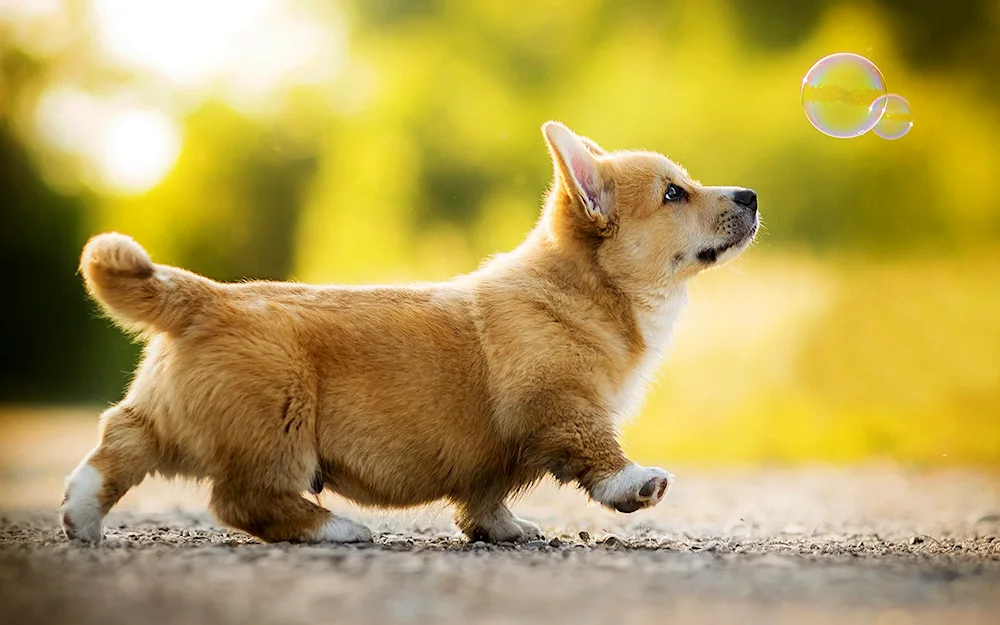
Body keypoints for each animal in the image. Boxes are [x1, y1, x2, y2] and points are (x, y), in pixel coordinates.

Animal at [62, 120, 756, 540]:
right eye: (673, 193)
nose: (750, 194)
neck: (590, 291)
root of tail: (205, 298)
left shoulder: (493, 457)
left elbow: (485, 498)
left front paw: (504, 531)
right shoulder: (560, 404)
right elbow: (598, 451)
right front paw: (636, 484)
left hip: (170, 417)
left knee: (120, 439)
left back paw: (79, 515)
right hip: (278, 423)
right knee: (241, 499)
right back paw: (334, 528)